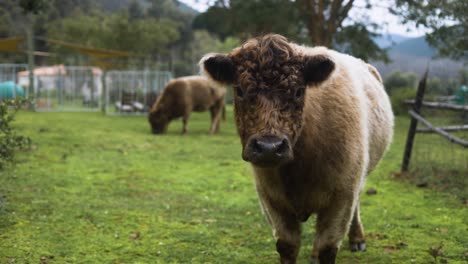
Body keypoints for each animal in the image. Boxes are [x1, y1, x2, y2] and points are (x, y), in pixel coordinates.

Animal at [199, 34, 394, 262]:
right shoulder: (271, 198)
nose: (269, 147)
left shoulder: (342, 196)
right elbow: (287, 246)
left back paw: (357, 239)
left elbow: (328, 248)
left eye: (299, 91)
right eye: (239, 90)